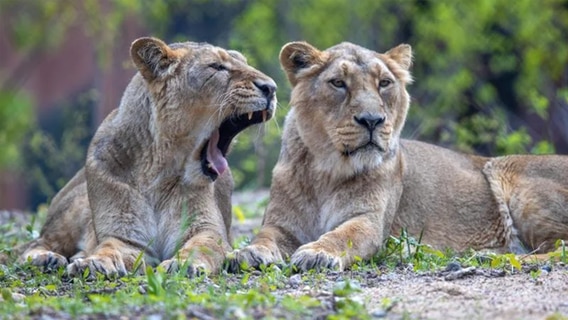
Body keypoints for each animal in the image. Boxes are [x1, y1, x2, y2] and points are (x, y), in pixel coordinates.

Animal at [17, 36, 276, 278]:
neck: (159, 171)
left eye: (244, 62)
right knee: (37, 242)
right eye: (217, 67)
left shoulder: (206, 230)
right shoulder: (128, 238)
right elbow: (108, 247)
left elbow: (199, 247)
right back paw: (47, 258)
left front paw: (182, 265)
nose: (271, 88)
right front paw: (93, 263)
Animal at [230, 40, 568, 272]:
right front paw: (246, 253)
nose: (371, 120)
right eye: (338, 83)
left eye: (384, 83)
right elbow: (263, 236)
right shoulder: (281, 223)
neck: (326, 170)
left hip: (508, 174)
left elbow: (343, 236)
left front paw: (318, 253)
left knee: (561, 247)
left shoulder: (369, 221)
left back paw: (489, 256)